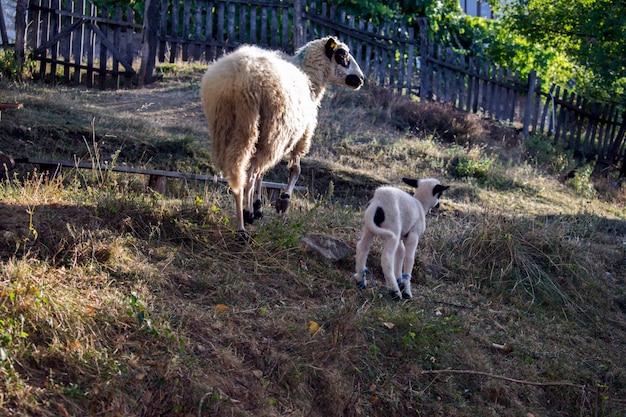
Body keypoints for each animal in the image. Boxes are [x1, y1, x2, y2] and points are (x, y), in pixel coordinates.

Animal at [200, 35, 364, 234]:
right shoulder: (301, 135)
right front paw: (282, 201)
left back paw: (241, 222)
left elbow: (263, 173)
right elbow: (295, 170)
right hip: (266, 129)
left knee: (237, 172)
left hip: (229, 127)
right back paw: (245, 217)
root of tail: (239, 80)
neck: (310, 78)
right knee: (249, 174)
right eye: (342, 55)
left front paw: (258, 206)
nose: (361, 79)